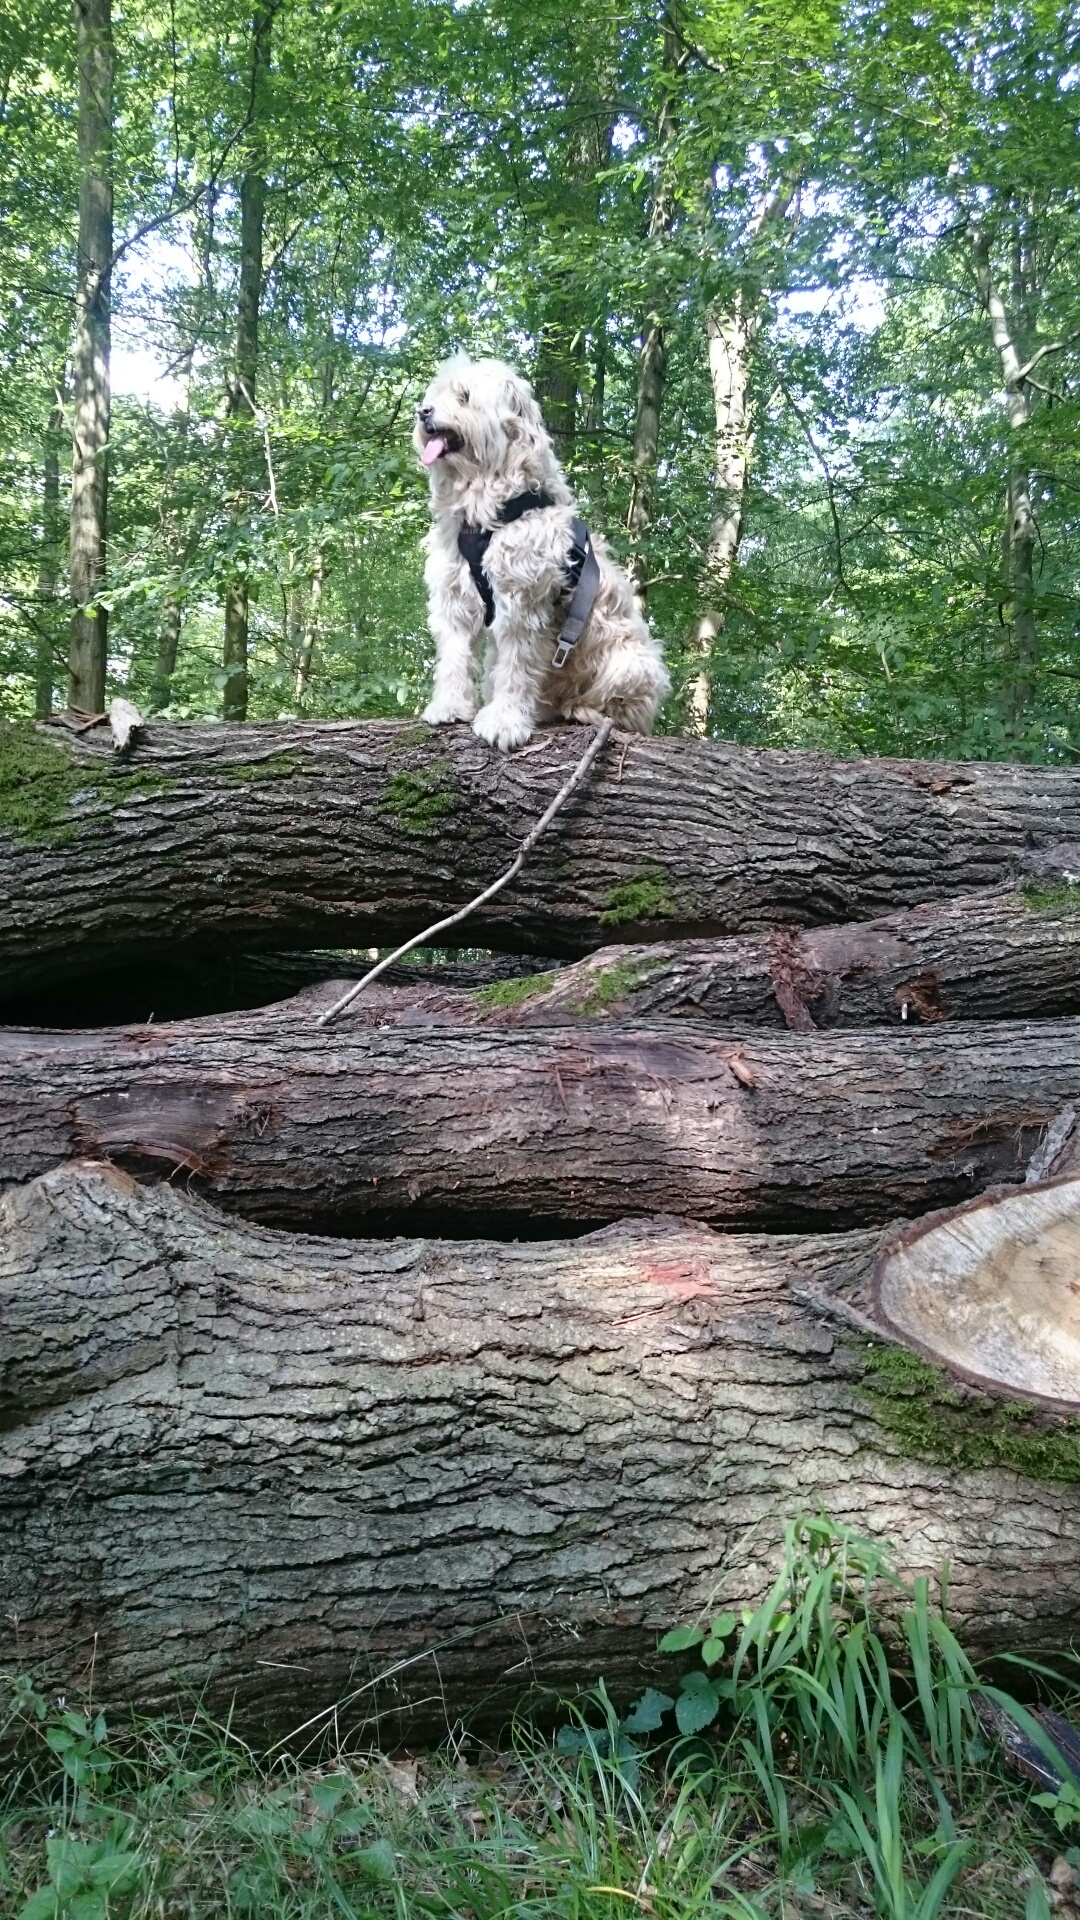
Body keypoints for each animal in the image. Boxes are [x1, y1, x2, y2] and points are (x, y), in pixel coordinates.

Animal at [411, 353, 664, 748]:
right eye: (435, 395)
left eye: (464, 396)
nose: (423, 412)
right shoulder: (454, 599)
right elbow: (454, 657)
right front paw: (449, 706)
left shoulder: (523, 603)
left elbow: (516, 667)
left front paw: (504, 720)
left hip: (634, 662)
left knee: (624, 711)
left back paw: (583, 710)